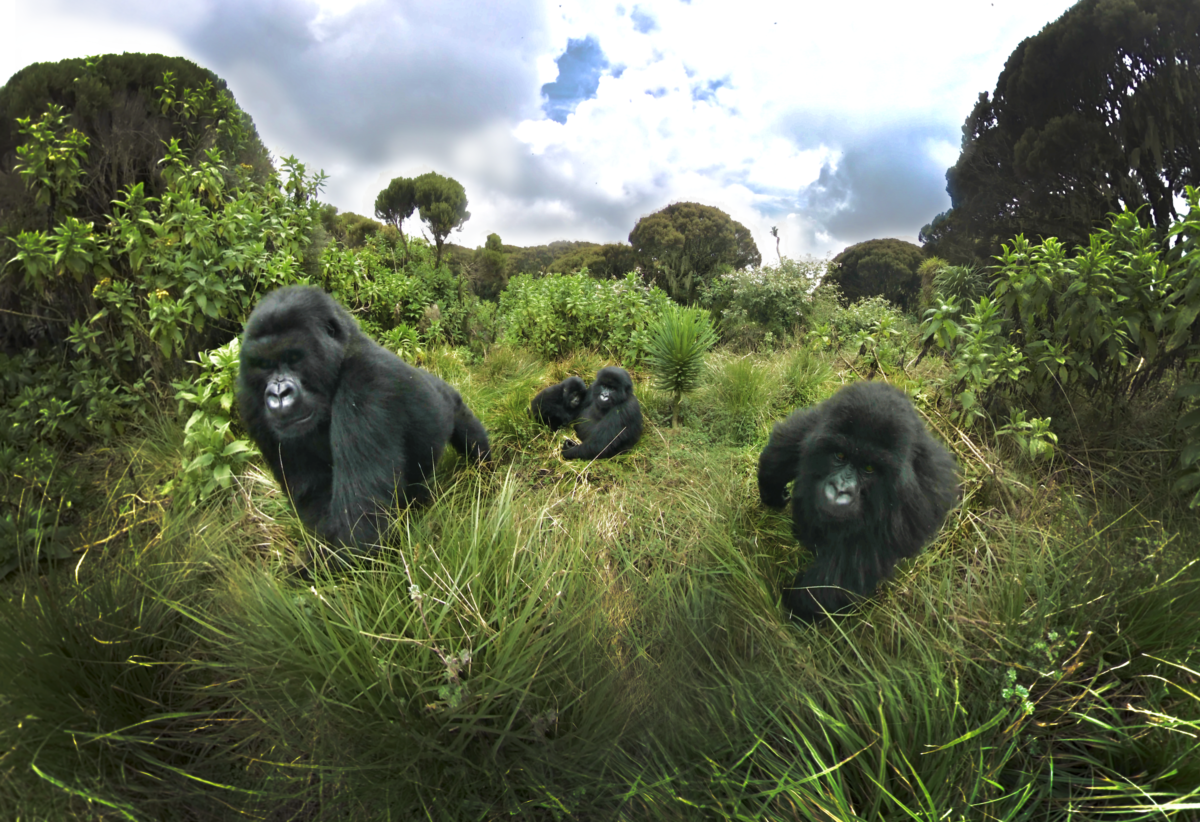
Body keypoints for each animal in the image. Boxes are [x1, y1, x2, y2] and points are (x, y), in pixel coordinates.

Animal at [236, 283, 489, 552]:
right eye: (264, 364)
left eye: (294, 358)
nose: (278, 394)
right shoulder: (250, 403)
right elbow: (317, 500)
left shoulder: (366, 380)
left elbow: (361, 525)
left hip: (449, 399)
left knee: (470, 435)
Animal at [758, 381, 955, 619]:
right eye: (840, 456)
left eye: (868, 468)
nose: (839, 490)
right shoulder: (816, 425)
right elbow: (784, 445)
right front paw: (772, 491)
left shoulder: (907, 506)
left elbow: (848, 570)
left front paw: (797, 602)